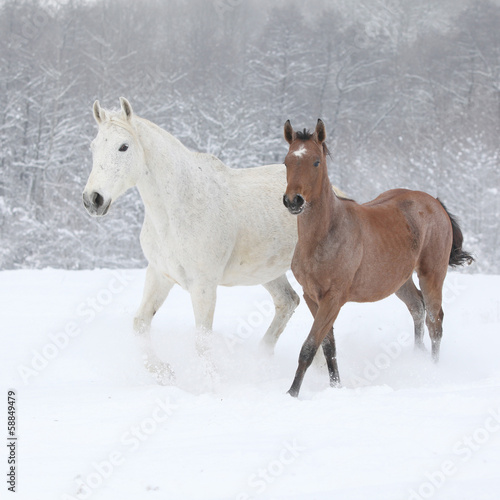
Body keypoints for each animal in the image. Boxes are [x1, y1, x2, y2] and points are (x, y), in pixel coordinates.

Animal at [83, 96, 300, 382]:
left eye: (124, 147)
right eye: (94, 147)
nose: (93, 199)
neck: (177, 210)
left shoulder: (203, 285)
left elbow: (202, 341)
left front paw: (210, 382)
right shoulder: (160, 274)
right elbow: (140, 324)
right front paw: (165, 373)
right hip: (268, 273)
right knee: (288, 302)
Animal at [282, 119, 472, 396]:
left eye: (316, 162)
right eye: (287, 161)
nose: (293, 201)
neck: (324, 236)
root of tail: (435, 203)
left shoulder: (333, 299)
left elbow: (310, 346)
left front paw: (292, 393)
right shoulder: (312, 296)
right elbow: (328, 347)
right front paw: (335, 387)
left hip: (432, 274)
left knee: (434, 321)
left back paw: (433, 371)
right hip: (400, 281)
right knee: (417, 308)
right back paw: (417, 359)